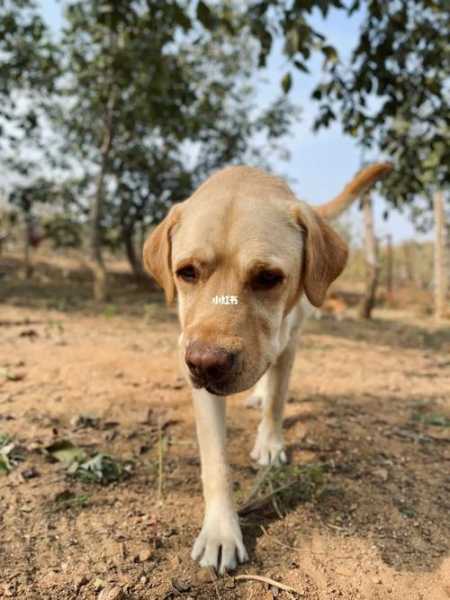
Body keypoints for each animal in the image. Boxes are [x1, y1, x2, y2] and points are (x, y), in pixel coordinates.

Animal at [143, 162, 390, 576]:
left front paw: (270, 444)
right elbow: (216, 462)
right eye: (187, 272)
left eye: (268, 277)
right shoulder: (194, 366)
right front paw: (221, 530)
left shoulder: (288, 344)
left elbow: (277, 400)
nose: (206, 364)